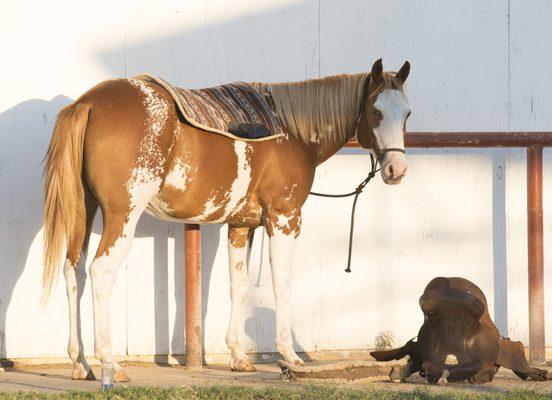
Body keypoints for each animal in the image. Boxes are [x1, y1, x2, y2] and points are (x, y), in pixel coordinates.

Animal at [42, 57, 410, 382]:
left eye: (406, 113)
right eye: (376, 111)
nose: (397, 170)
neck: (292, 133)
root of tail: (88, 104)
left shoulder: (241, 225)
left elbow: (239, 285)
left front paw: (238, 356)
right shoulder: (285, 218)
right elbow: (282, 284)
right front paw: (290, 356)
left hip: (84, 209)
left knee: (74, 272)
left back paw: (81, 364)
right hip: (122, 215)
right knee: (101, 272)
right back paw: (110, 362)